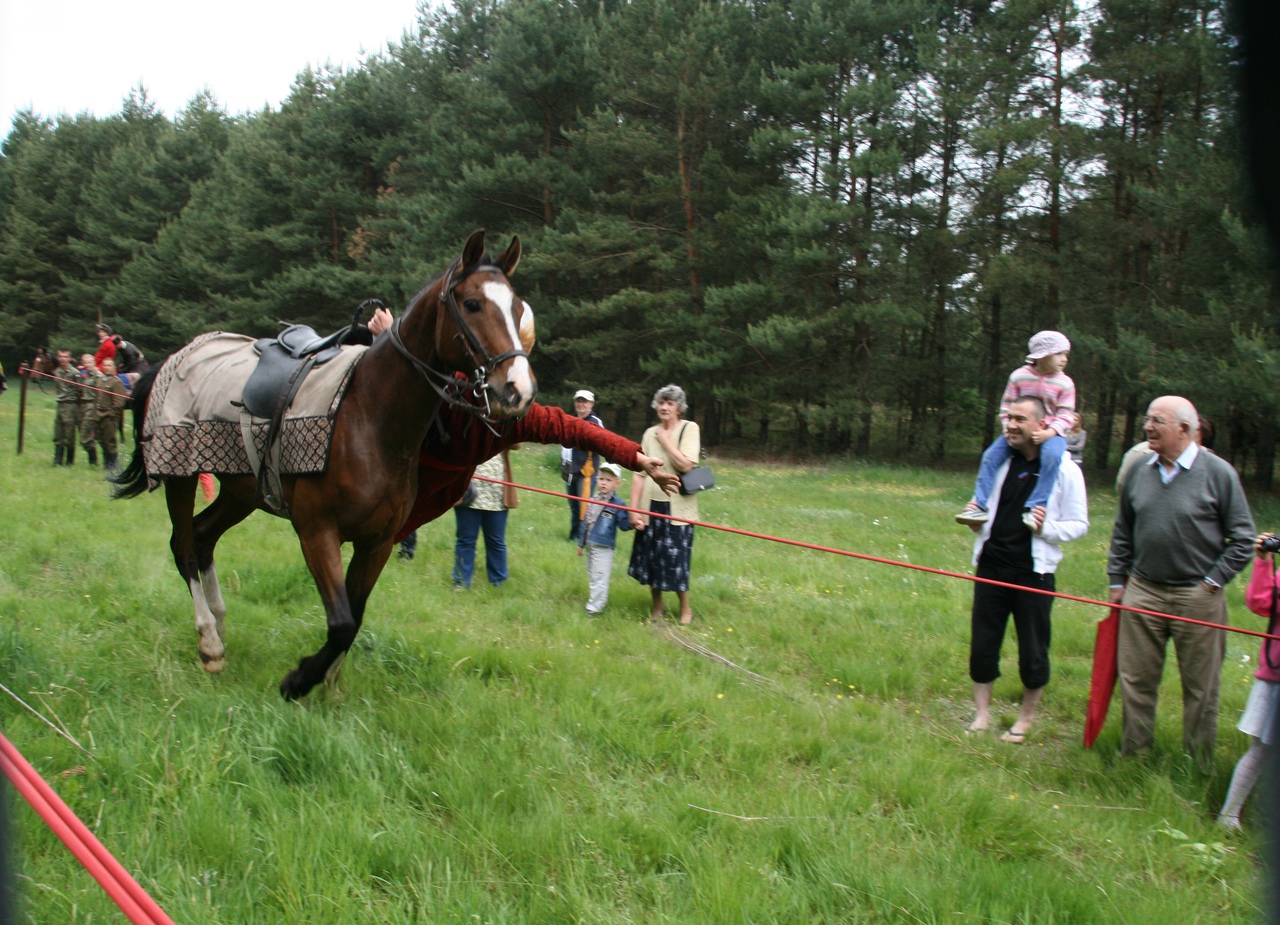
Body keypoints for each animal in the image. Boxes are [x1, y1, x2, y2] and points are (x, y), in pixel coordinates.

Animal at [117, 231, 537, 701]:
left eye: (516, 307)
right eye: (472, 304)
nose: (518, 390)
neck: (370, 418)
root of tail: (174, 358)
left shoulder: (377, 543)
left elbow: (355, 615)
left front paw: (328, 681)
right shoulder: (318, 533)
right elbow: (341, 623)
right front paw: (299, 679)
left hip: (241, 491)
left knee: (204, 536)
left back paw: (220, 626)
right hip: (181, 474)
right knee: (185, 545)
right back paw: (209, 641)